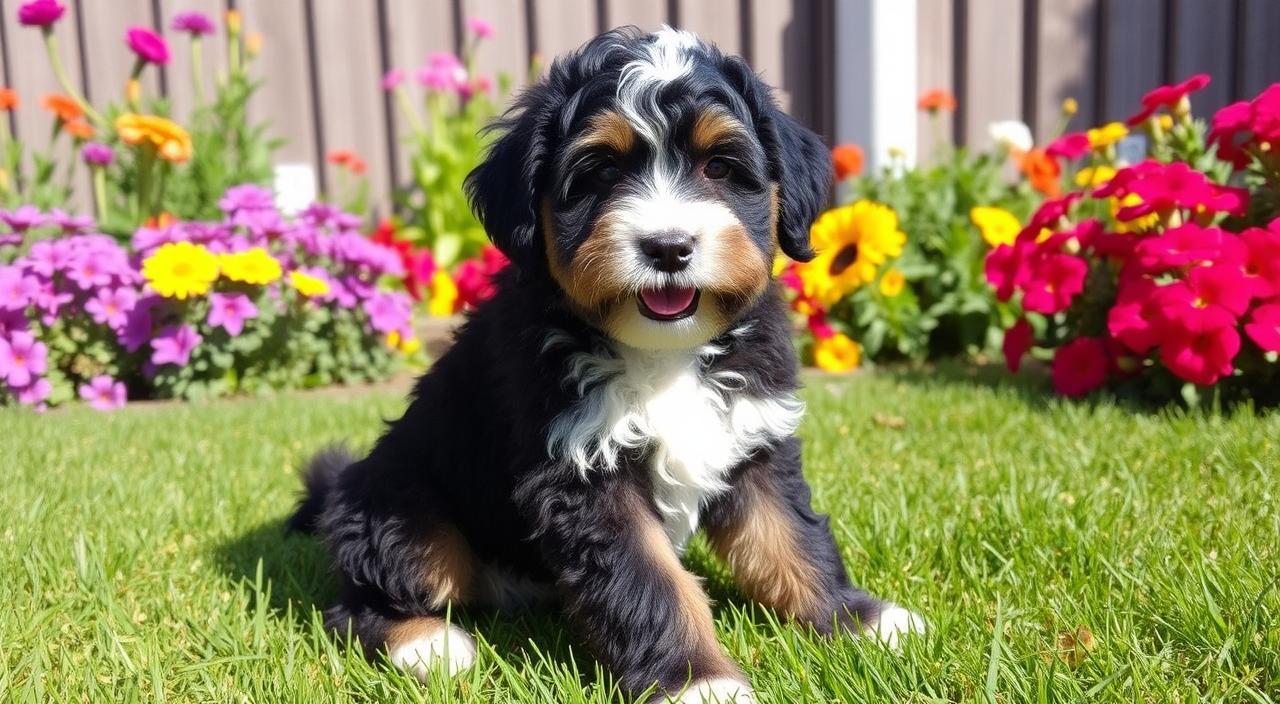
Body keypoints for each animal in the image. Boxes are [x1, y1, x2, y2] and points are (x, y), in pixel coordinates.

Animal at [290, 24, 921, 701]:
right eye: (599, 171)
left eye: (720, 166)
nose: (668, 247)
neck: (663, 352)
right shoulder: (585, 474)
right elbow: (652, 582)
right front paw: (698, 682)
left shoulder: (753, 436)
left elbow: (789, 538)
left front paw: (859, 619)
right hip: (405, 512)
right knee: (360, 601)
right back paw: (431, 646)